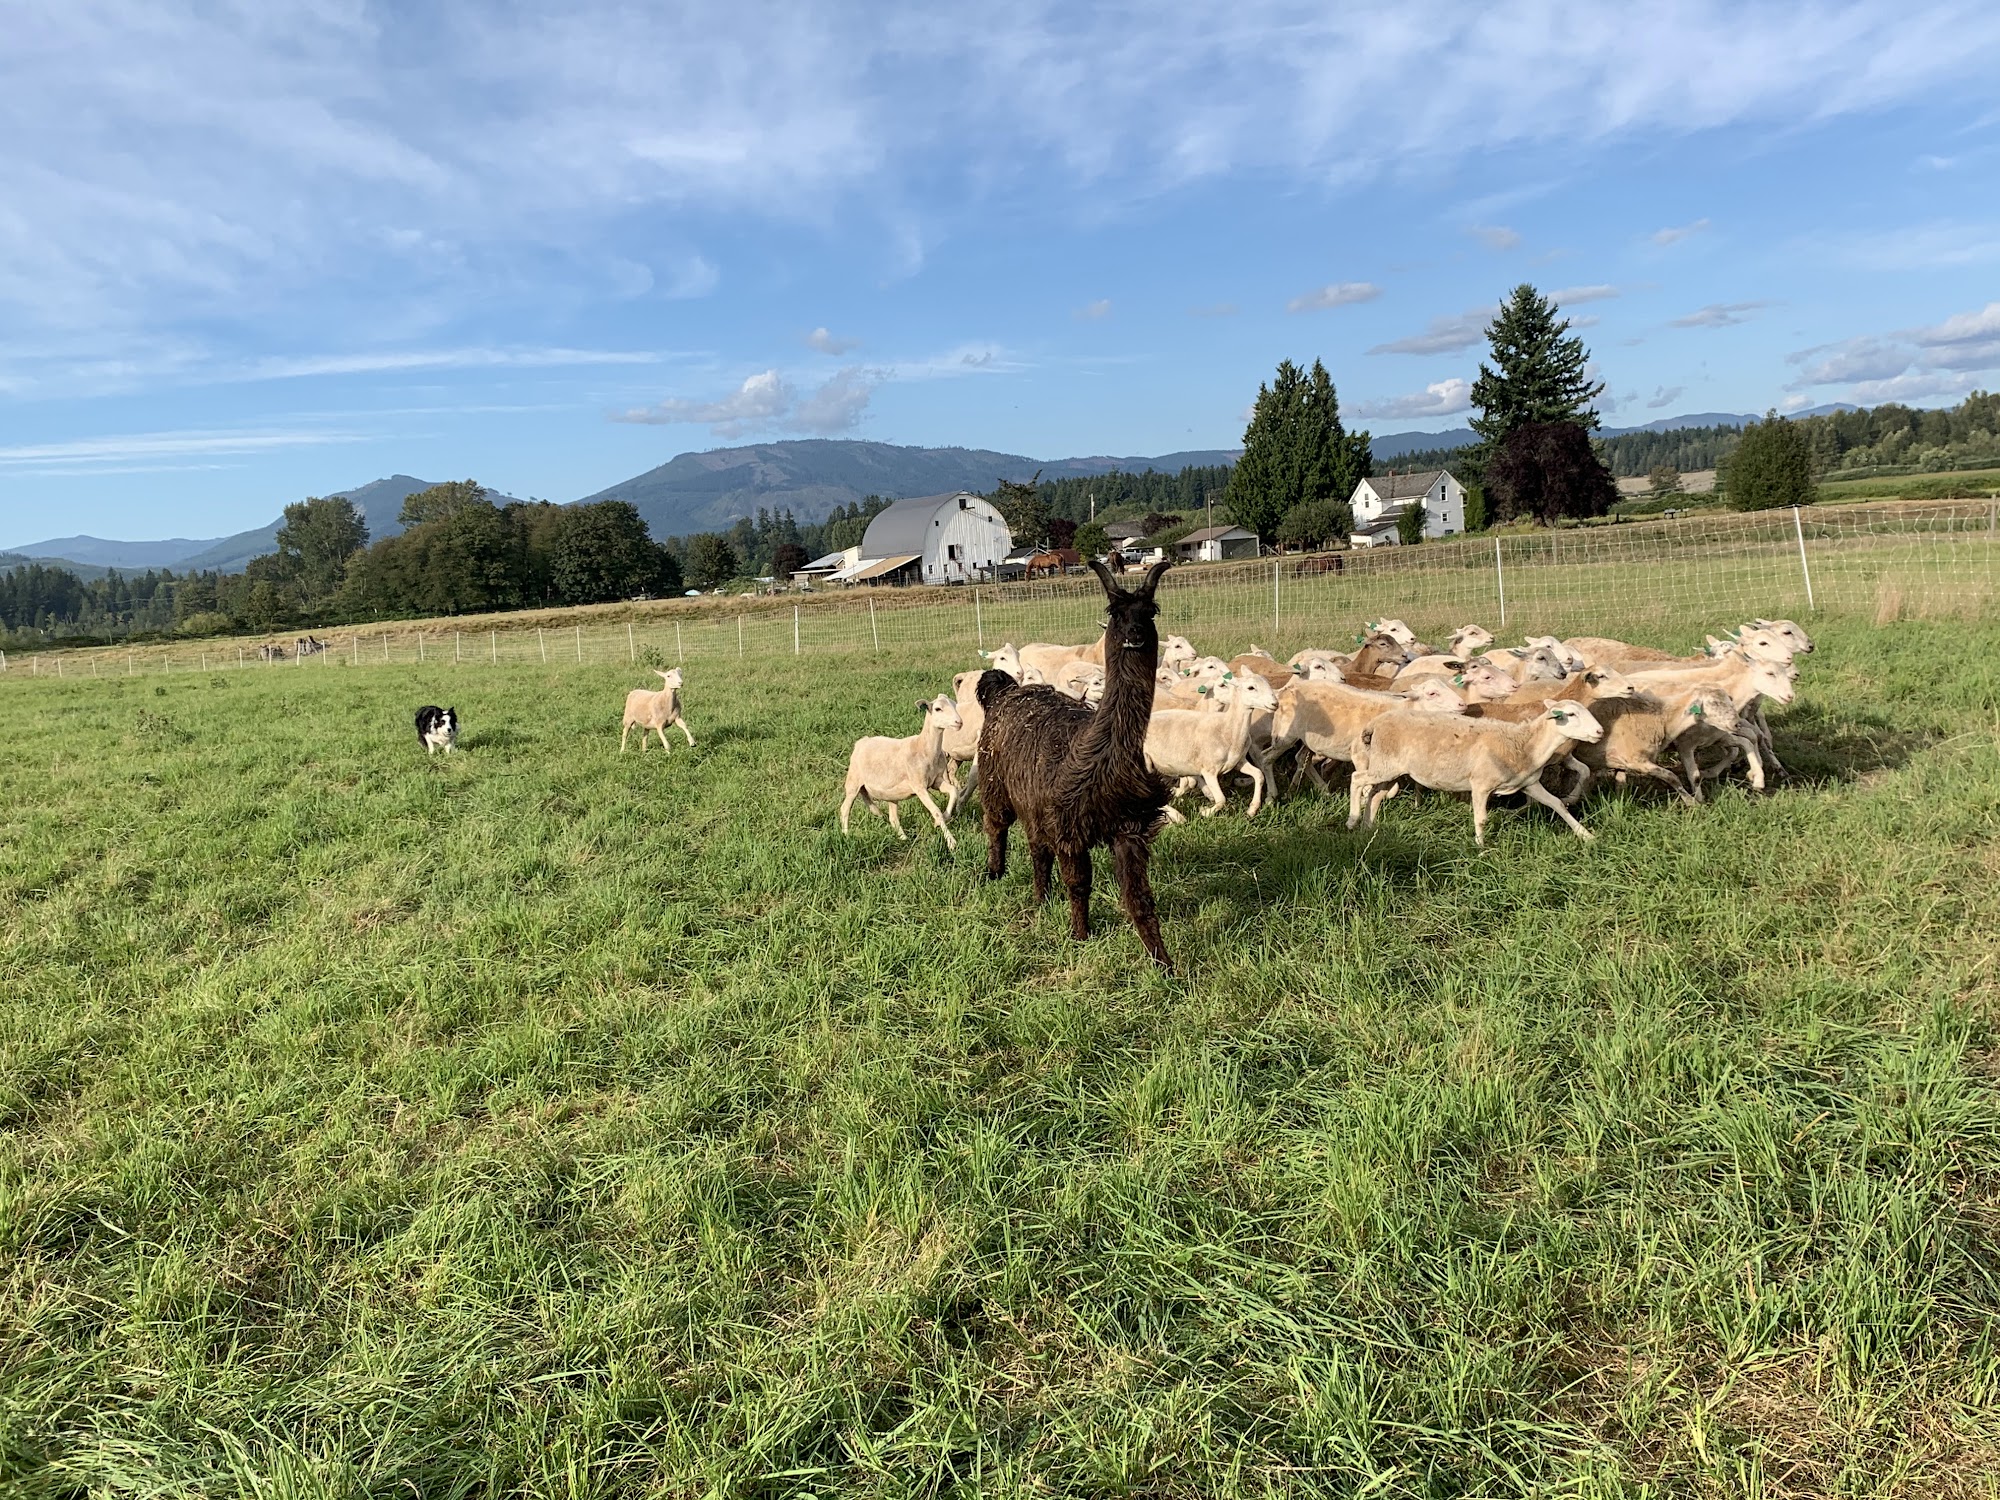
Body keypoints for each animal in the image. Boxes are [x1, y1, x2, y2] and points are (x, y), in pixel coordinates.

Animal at [840, 694, 963, 851]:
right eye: (937, 709)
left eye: (954, 705)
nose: (959, 722)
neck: (925, 749)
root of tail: (862, 741)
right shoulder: (919, 785)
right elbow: (935, 811)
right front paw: (951, 842)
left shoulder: (936, 781)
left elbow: (954, 791)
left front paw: (945, 817)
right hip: (853, 781)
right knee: (845, 808)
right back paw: (846, 835)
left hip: (889, 793)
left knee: (892, 818)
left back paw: (903, 838)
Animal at [1145, 672, 1282, 819]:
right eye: (1251, 687)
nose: (1275, 704)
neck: (1227, 727)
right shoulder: (1209, 771)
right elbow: (1221, 799)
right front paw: (1205, 811)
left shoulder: (1238, 761)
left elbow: (1259, 774)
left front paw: (1252, 809)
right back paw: (1177, 816)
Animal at [1348, 701, 1607, 846]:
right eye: (1571, 715)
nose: (1599, 731)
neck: (1523, 744)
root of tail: (1376, 722)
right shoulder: (1481, 784)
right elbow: (1481, 818)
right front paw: (1481, 849)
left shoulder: (1529, 783)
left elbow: (1557, 804)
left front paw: (1586, 835)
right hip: (1386, 765)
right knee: (1357, 779)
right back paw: (1353, 819)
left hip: (1388, 768)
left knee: (1375, 795)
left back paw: (1368, 827)